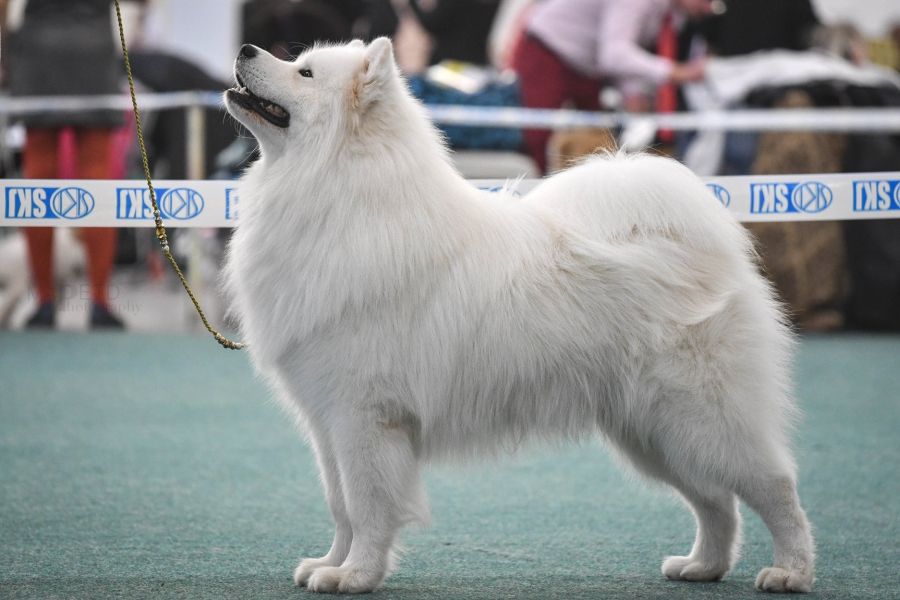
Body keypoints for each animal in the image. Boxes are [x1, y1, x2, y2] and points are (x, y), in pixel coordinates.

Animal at [223, 38, 816, 596]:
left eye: (304, 73)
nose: (245, 48)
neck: (338, 195)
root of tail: (703, 248)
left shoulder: (365, 417)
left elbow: (368, 506)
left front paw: (357, 575)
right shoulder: (328, 422)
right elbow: (340, 504)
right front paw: (330, 564)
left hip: (702, 420)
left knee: (776, 487)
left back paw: (790, 571)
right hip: (654, 435)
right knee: (716, 501)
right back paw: (702, 566)